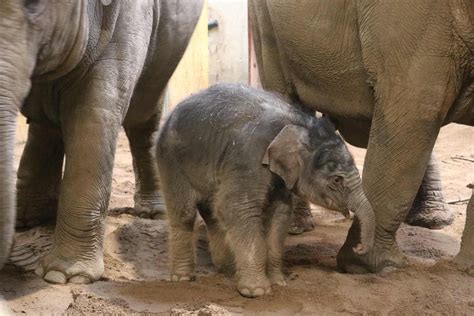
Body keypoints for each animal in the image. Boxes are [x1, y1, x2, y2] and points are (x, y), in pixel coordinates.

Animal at [0, 0, 202, 284]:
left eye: (33, 4)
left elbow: (94, 112)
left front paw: (64, 276)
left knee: (144, 112)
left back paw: (154, 214)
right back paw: (28, 218)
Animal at [157, 83, 376, 296]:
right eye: (337, 180)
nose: (358, 247)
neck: (295, 124)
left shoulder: (282, 177)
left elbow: (280, 214)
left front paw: (279, 282)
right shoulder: (248, 158)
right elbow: (238, 208)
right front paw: (257, 291)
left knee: (213, 214)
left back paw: (229, 270)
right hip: (170, 159)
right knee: (185, 213)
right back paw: (182, 278)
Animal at [250, 0, 472, 272]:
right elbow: (417, 107)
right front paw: (372, 265)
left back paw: (433, 220)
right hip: (265, 23)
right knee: (286, 98)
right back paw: (297, 228)